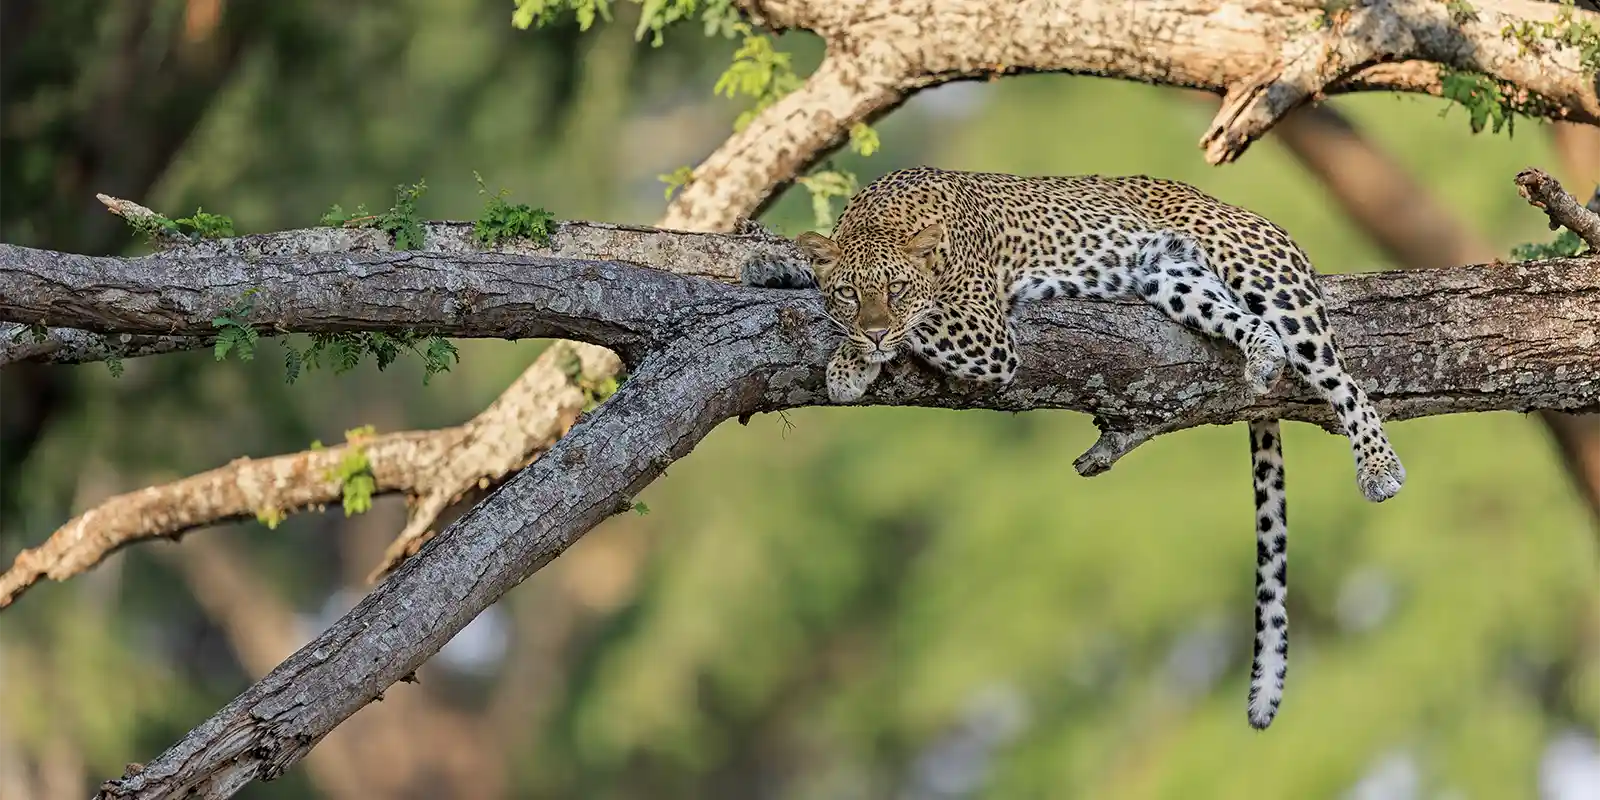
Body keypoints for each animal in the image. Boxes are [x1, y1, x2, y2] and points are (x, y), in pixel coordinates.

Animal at [741, 166, 1406, 730]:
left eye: (899, 289)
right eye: (852, 294)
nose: (874, 331)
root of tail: (1228, 204)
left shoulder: (985, 332)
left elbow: (921, 323)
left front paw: (850, 361)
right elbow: (808, 266)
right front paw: (775, 265)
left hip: (1267, 277)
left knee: (1343, 378)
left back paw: (1378, 466)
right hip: (1176, 281)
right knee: (1257, 329)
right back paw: (1263, 361)